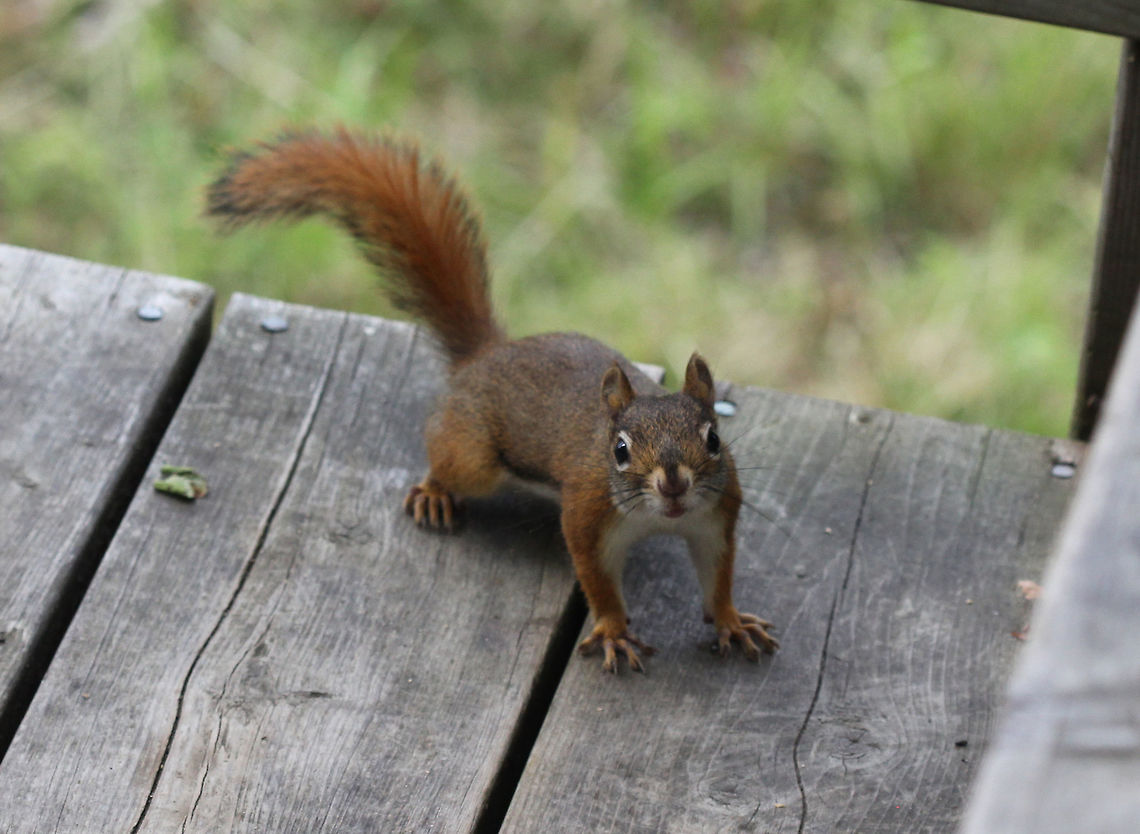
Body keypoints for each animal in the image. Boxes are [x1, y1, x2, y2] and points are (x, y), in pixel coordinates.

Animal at [207, 127, 778, 673]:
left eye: (714, 439)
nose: (674, 484)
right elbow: (597, 582)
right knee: (447, 460)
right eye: (619, 450)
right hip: (474, 458)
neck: (661, 519)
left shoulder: (716, 518)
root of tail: (487, 354)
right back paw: (434, 493)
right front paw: (615, 631)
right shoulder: (586, 514)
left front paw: (731, 622)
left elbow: (717, 576)